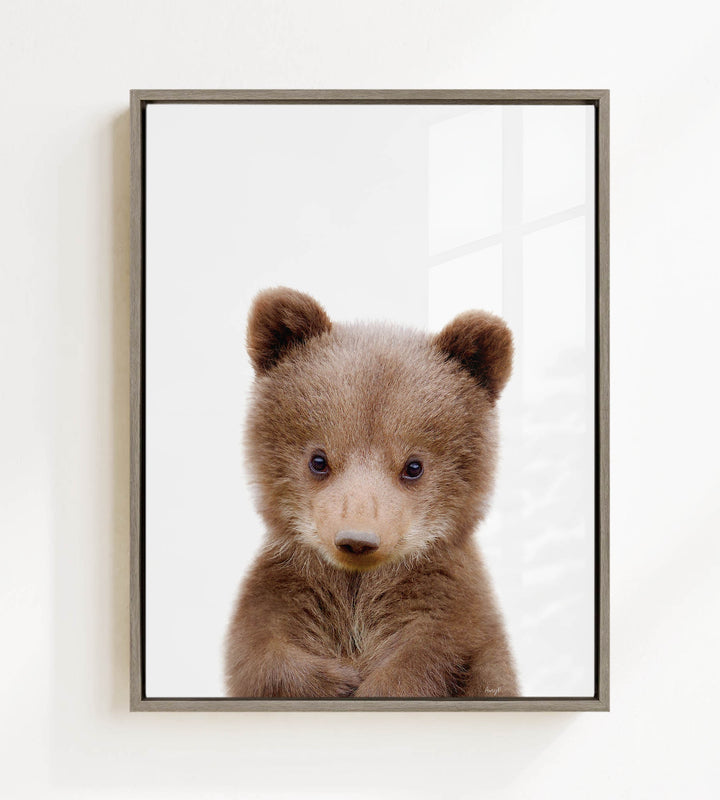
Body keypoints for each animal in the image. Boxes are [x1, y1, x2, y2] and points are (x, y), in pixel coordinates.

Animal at [224, 287, 519, 698]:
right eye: (319, 460)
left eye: (414, 466)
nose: (357, 539)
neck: (356, 587)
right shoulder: (288, 588)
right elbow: (261, 651)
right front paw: (337, 680)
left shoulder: (447, 608)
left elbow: (431, 656)